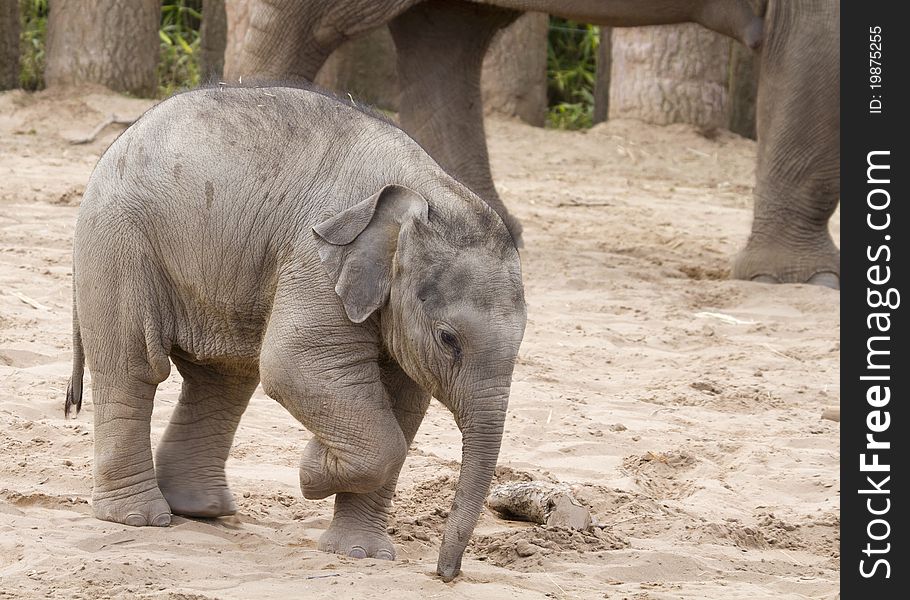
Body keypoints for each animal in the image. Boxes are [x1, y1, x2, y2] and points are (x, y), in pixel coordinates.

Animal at [66, 84, 528, 580]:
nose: (446, 573)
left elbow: (404, 404)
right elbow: (295, 366)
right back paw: (139, 518)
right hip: (119, 244)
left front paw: (359, 553)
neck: (425, 191)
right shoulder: (315, 258)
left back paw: (202, 510)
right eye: (448, 339)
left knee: (224, 379)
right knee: (135, 367)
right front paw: (312, 470)